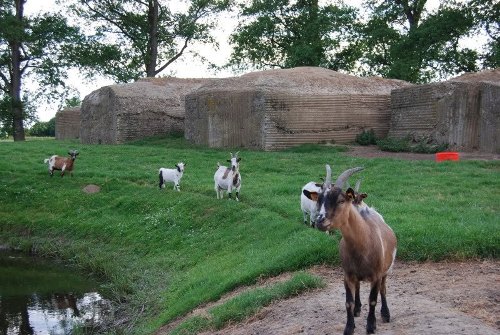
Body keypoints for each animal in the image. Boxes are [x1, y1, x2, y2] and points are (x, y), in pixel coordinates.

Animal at [302, 166, 396, 335]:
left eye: (341, 200)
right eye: (319, 200)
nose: (320, 221)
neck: (364, 242)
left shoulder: (376, 275)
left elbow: (373, 300)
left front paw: (371, 326)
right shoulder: (347, 275)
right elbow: (348, 302)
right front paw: (349, 327)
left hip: (386, 270)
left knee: (383, 289)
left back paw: (385, 314)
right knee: (358, 287)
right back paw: (358, 309)